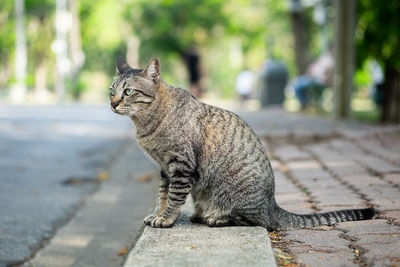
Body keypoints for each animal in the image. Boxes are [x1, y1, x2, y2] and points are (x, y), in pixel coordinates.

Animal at [109, 57, 376, 232]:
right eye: (112, 90)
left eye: (129, 91)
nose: (112, 103)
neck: (146, 124)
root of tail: (272, 204)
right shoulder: (165, 168)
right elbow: (162, 195)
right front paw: (157, 213)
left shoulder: (180, 166)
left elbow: (174, 197)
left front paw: (166, 219)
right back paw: (201, 214)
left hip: (240, 196)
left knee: (260, 222)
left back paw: (217, 218)